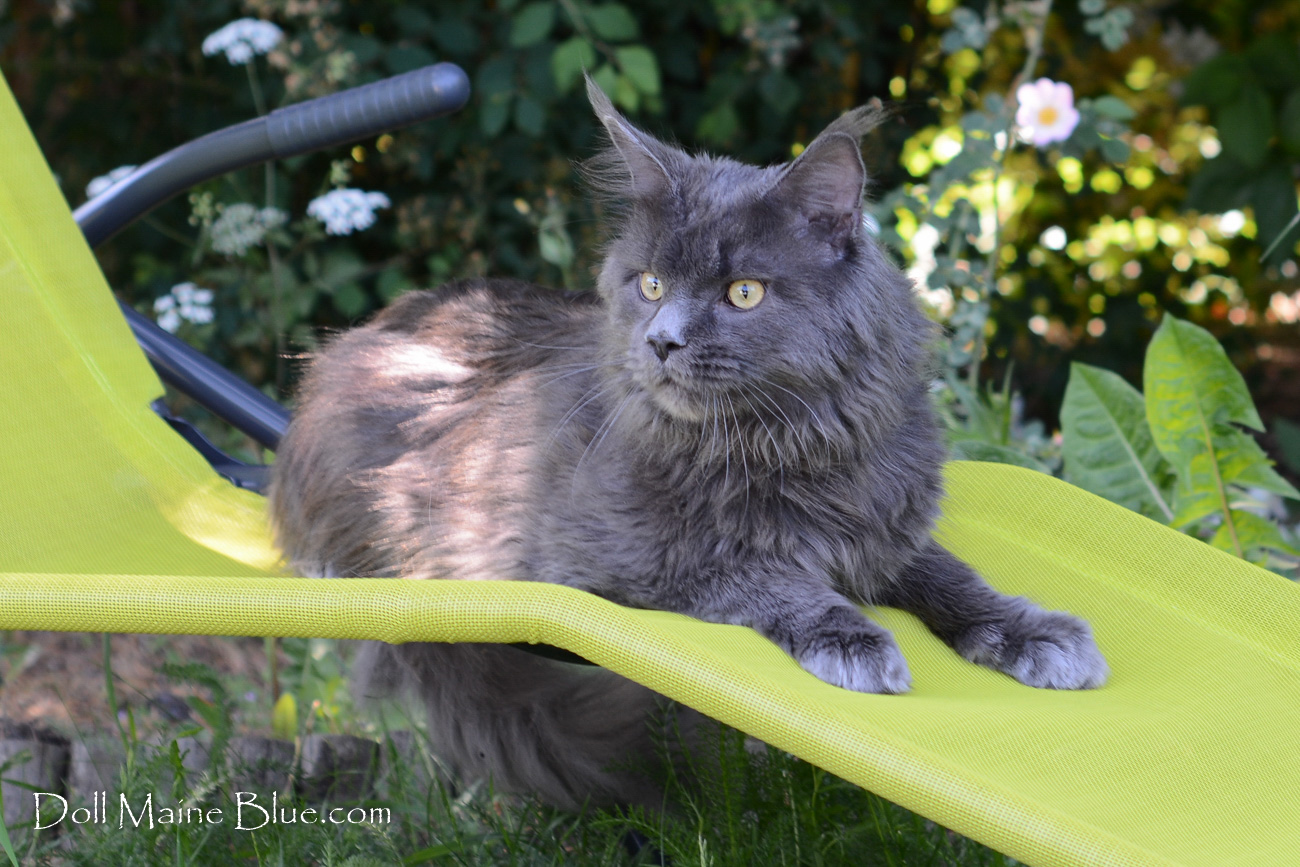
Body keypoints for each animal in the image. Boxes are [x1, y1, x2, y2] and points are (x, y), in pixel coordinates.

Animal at [267, 78, 1108, 811]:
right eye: (649, 284)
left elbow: (954, 579)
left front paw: (1034, 631)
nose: (662, 340)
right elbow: (763, 577)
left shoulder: (885, 534)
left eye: (744, 292)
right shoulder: (610, 563)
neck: (794, 445)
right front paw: (849, 634)